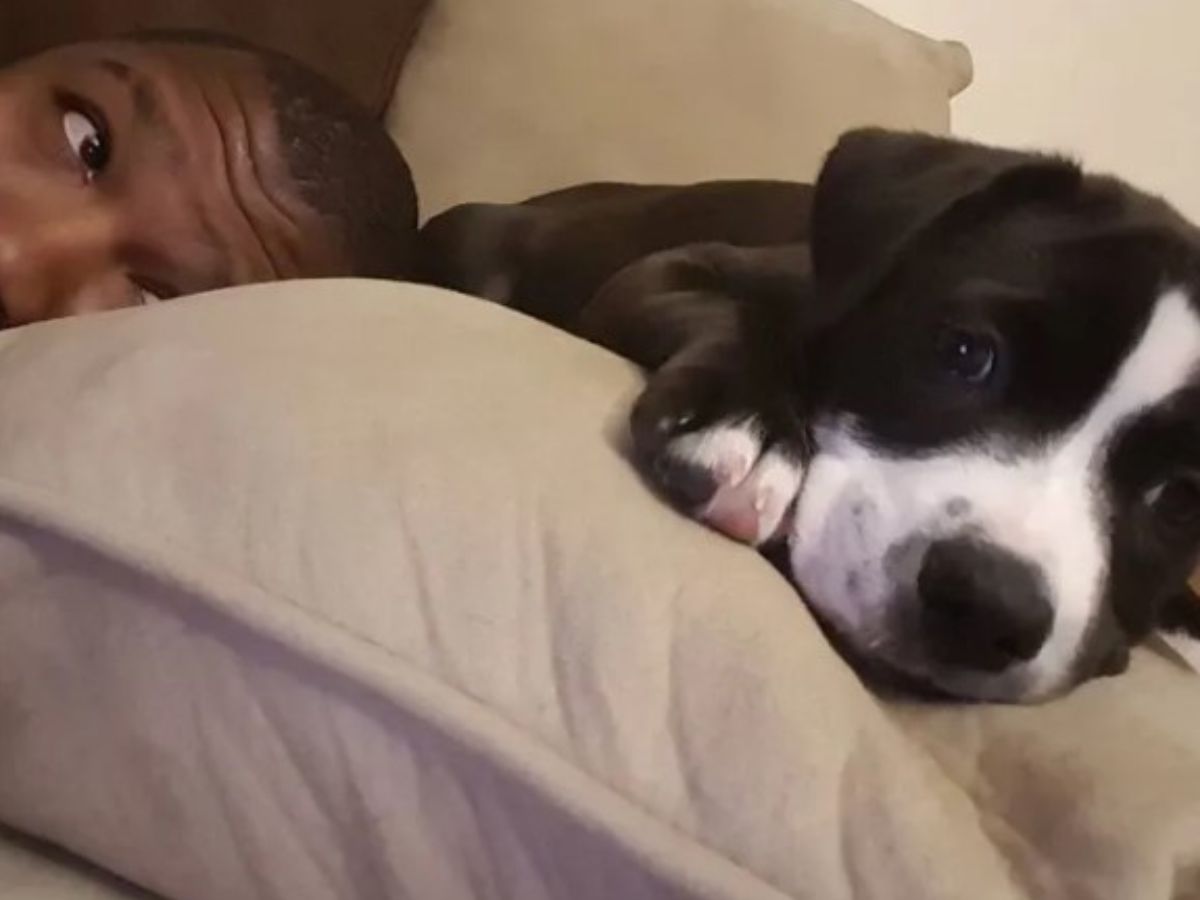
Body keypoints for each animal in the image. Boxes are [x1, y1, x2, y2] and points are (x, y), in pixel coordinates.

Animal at [417, 128, 1200, 705]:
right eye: (966, 351)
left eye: (1181, 497)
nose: (986, 605)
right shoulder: (668, 270)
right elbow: (734, 315)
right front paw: (748, 425)